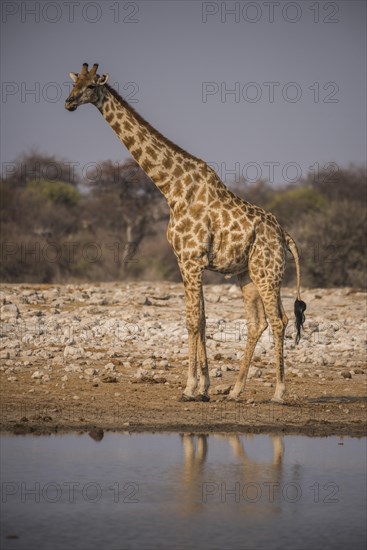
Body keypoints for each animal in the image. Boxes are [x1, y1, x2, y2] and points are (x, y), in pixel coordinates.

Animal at [64, 63, 306, 406]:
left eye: (90, 87)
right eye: (74, 84)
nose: (69, 103)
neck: (172, 188)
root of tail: (285, 236)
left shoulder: (190, 259)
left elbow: (193, 320)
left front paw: (190, 388)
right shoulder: (186, 260)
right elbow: (199, 319)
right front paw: (203, 388)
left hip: (267, 271)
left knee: (279, 320)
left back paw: (279, 392)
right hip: (246, 273)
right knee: (256, 322)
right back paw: (235, 390)